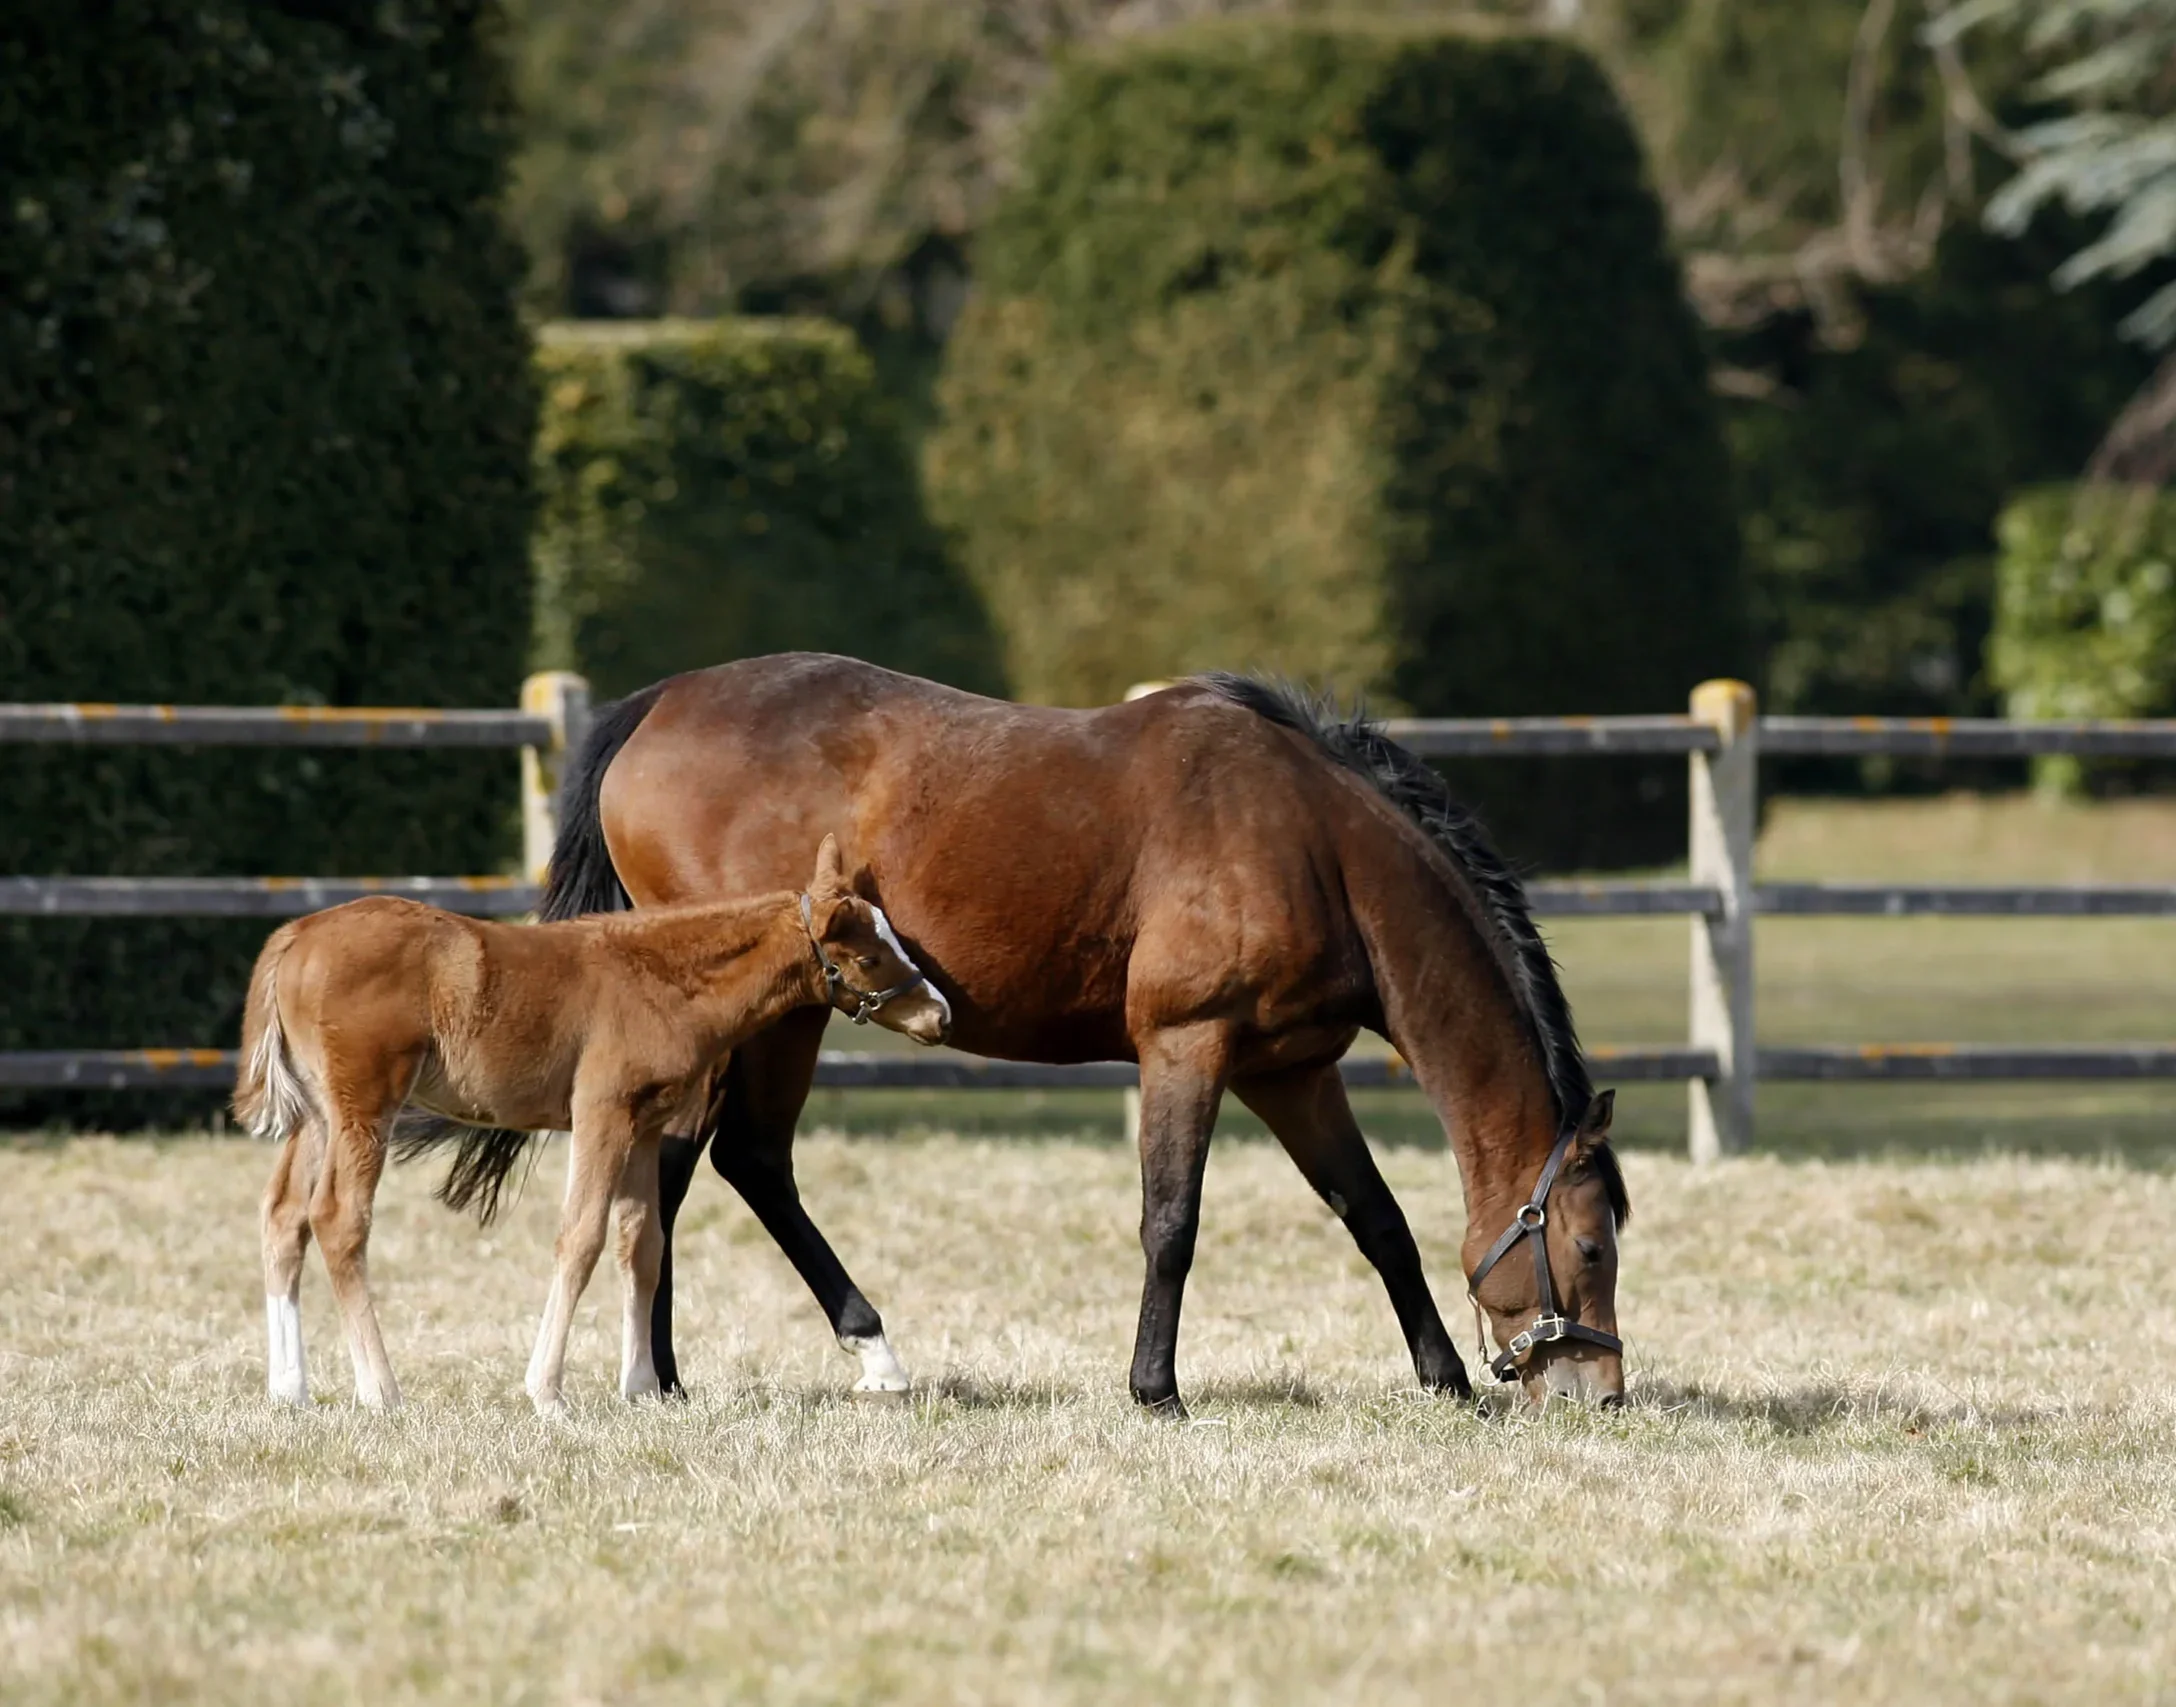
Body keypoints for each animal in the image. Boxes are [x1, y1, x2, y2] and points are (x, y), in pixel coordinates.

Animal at [233, 836, 948, 1410]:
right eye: (869, 959)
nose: (938, 1013)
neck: (661, 978)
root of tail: (294, 938)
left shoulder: (646, 1122)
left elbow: (643, 1244)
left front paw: (640, 1388)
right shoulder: (600, 1111)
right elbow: (580, 1238)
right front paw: (547, 1392)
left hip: (317, 1114)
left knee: (283, 1215)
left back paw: (289, 1390)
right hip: (365, 1103)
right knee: (338, 1218)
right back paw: (380, 1390)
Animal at [437, 653, 1618, 1410]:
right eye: (1593, 1244)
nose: (1600, 1390)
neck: (1311, 841)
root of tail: (657, 706)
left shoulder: (1290, 1072)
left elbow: (1374, 1218)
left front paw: (1443, 1378)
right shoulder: (1187, 1046)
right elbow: (1171, 1223)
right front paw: (1155, 1389)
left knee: (717, 1168)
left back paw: (709, 1371)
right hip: (765, 1015)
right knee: (718, 1165)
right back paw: (779, 1358)